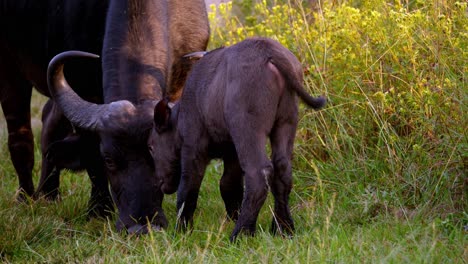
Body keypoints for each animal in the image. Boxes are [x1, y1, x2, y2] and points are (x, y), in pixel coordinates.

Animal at [149, 37, 326, 241]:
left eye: (151, 147)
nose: (160, 183)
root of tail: (269, 51)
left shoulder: (193, 148)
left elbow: (188, 189)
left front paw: (182, 229)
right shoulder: (232, 152)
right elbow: (229, 186)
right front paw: (233, 216)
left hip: (249, 127)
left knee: (259, 173)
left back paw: (242, 233)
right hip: (285, 122)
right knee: (282, 171)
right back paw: (283, 228)